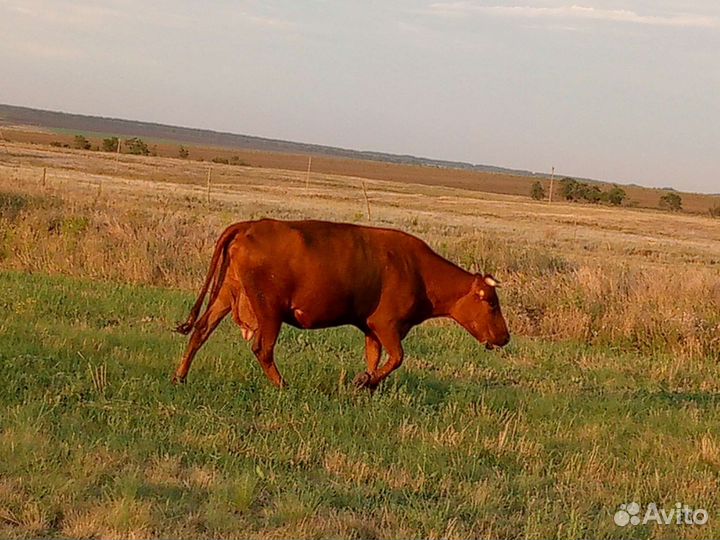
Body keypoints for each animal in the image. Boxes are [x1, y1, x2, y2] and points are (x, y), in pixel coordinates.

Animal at [172, 219, 510, 390]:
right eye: (492, 303)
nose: (505, 336)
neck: (418, 270)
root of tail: (248, 226)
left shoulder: (372, 330)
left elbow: (376, 359)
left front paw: (367, 383)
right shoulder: (386, 325)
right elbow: (397, 358)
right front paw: (365, 382)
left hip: (226, 295)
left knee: (200, 332)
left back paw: (180, 377)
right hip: (269, 310)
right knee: (262, 349)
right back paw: (283, 386)